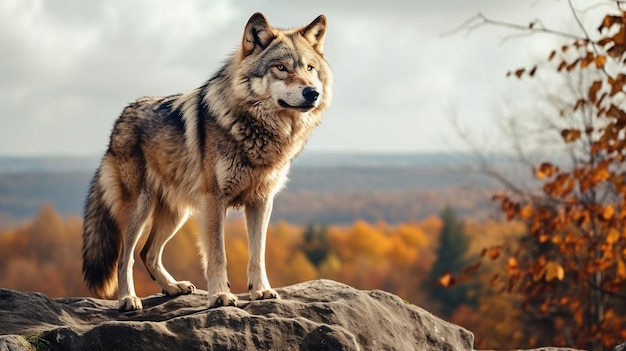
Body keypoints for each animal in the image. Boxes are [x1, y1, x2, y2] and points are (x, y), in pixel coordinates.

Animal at [81, 12, 332, 312]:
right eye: (280, 67)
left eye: (310, 68)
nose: (312, 93)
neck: (259, 132)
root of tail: (120, 117)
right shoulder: (214, 200)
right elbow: (217, 255)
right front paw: (220, 296)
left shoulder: (261, 201)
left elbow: (257, 255)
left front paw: (261, 291)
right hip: (140, 209)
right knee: (125, 257)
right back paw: (128, 299)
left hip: (178, 214)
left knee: (148, 253)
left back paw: (173, 288)